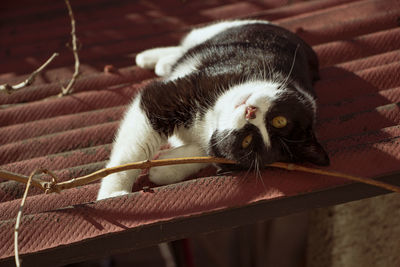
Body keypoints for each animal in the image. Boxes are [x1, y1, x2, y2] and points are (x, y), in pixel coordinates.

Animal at [97, 19, 328, 201]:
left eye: (246, 142)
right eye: (280, 120)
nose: (251, 112)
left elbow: (207, 152)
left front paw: (165, 169)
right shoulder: (168, 96)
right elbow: (133, 151)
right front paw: (113, 193)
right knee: (189, 42)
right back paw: (154, 58)